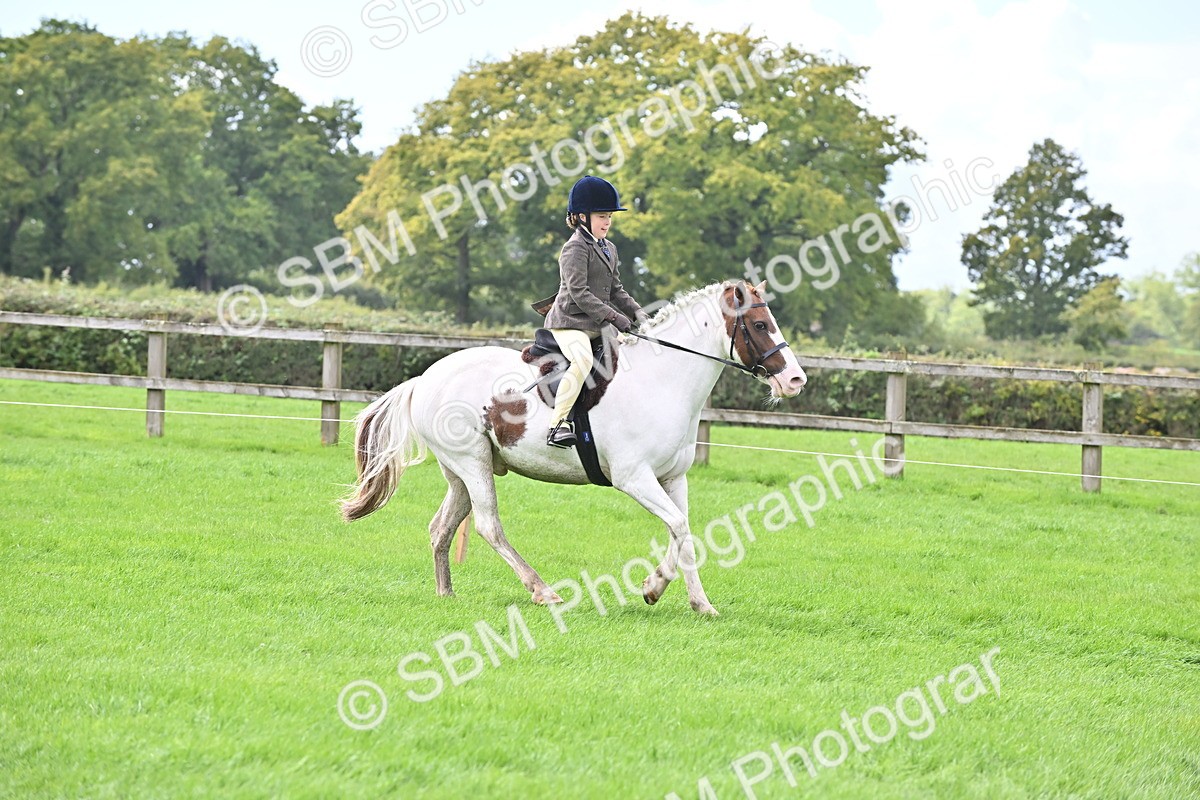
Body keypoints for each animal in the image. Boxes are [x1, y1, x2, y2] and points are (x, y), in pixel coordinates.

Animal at [340, 279, 807, 615]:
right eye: (760, 325)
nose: (795, 380)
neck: (661, 381)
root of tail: (425, 378)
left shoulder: (674, 478)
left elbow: (685, 532)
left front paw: (701, 604)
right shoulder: (634, 478)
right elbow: (677, 525)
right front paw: (653, 588)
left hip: (463, 471)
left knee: (442, 527)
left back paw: (446, 594)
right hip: (472, 464)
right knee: (489, 527)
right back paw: (543, 591)